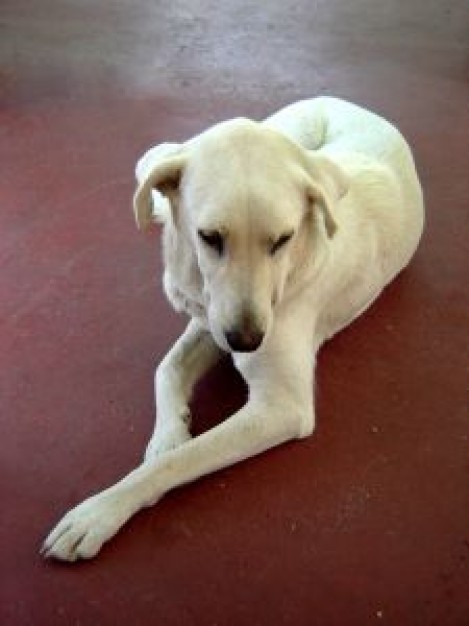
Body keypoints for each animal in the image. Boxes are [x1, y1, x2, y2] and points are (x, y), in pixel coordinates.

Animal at [43, 98, 424, 560]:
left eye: (283, 239)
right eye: (210, 237)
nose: (247, 341)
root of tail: (344, 100)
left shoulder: (281, 406)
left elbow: (181, 459)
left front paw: (100, 511)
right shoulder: (210, 323)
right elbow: (166, 370)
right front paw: (168, 436)